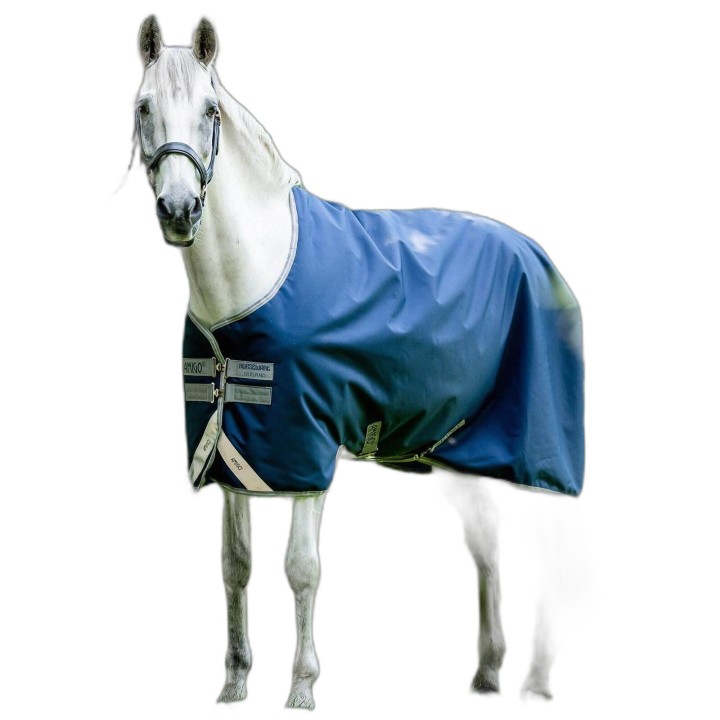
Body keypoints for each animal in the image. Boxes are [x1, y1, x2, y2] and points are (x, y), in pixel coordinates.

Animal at [133, 16, 584, 709]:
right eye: (143, 107)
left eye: (210, 111)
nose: (179, 211)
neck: (254, 276)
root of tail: (540, 258)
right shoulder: (235, 453)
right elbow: (235, 565)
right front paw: (234, 682)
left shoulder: (308, 453)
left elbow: (302, 569)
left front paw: (302, 687)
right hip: (464, 450)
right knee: (487, 545)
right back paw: (488, 672)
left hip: (539, 453)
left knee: (549, 545)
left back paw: (536, 680)